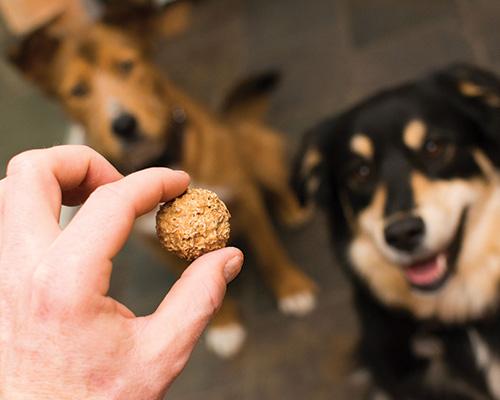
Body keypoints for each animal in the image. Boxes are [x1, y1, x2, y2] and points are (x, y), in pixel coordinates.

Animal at [9, 2, 316, 360]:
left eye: (127, 65)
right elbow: (185, 274)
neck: (164, 159)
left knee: (275, 179)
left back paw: (292, 208)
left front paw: (292, 288)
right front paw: (224, 325)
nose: (123, 124)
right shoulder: (152, 243)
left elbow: (271, 254)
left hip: (256, 149)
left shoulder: (246, 198)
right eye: (78, 91)